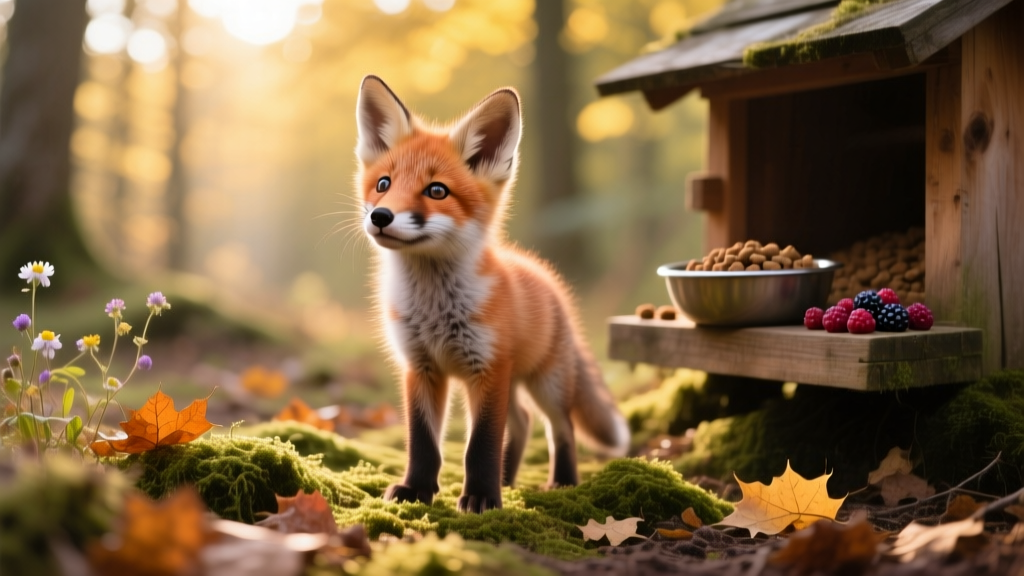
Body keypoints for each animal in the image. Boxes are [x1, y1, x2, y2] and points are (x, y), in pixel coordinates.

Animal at [354, 75, 629, 513]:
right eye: (384, 184)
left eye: (437, 191)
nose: (381, 217)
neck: (435, 308)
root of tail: (550, 282)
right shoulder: (421, 368)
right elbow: (423, 442)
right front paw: (416, 490)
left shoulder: (486, 368)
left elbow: (480, 445)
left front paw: (482, 497)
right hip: (513, 383)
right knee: (522, 424)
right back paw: (509, 480)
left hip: (545, 382)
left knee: (560, 427)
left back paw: (562, 482)